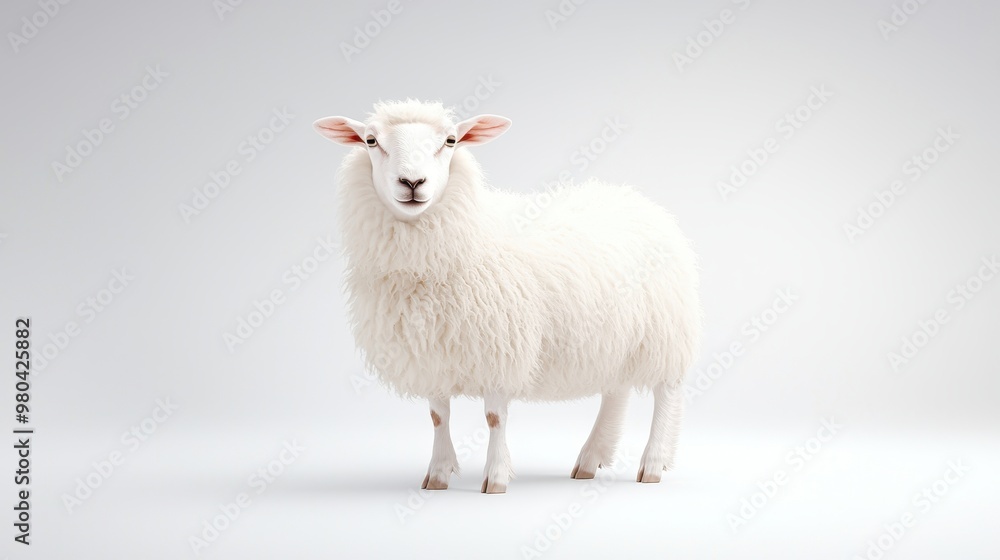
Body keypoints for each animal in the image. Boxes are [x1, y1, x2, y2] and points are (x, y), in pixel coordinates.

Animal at [313, 99, 701, 494]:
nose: (412, 183)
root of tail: (636, 198)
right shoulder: (433, 351)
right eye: (371, 140)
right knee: (616, 391)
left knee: (667, 392)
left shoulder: (501, 346)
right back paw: (591, 459)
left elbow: (494, 417)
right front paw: (437, 474)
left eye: (450, 140)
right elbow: (438, 416)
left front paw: (496, 477)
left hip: (664, 331)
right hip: (617, 338)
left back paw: (652, 464)